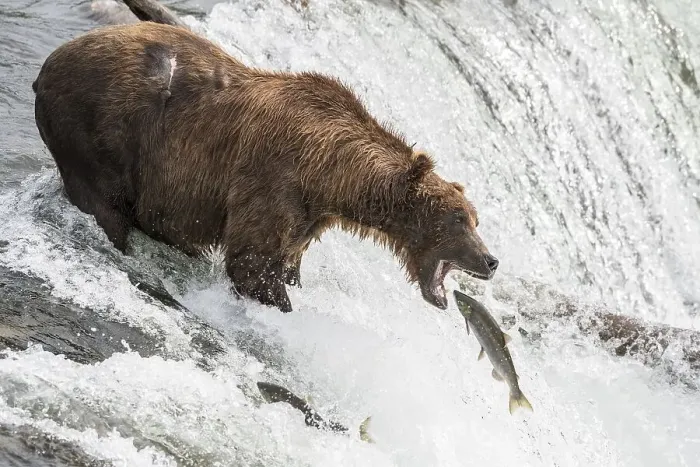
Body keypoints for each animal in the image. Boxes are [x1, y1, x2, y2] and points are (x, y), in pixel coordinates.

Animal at [32, 0, 499, 313]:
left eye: (476, 219)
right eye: (457, 219)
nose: (491, 260)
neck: (331, 174)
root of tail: (48, 65)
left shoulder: (308, 215)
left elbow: (286, 257)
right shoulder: (273, 179)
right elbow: (253, 262)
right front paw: (279, 302)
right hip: (100, 131)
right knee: (106, 206)